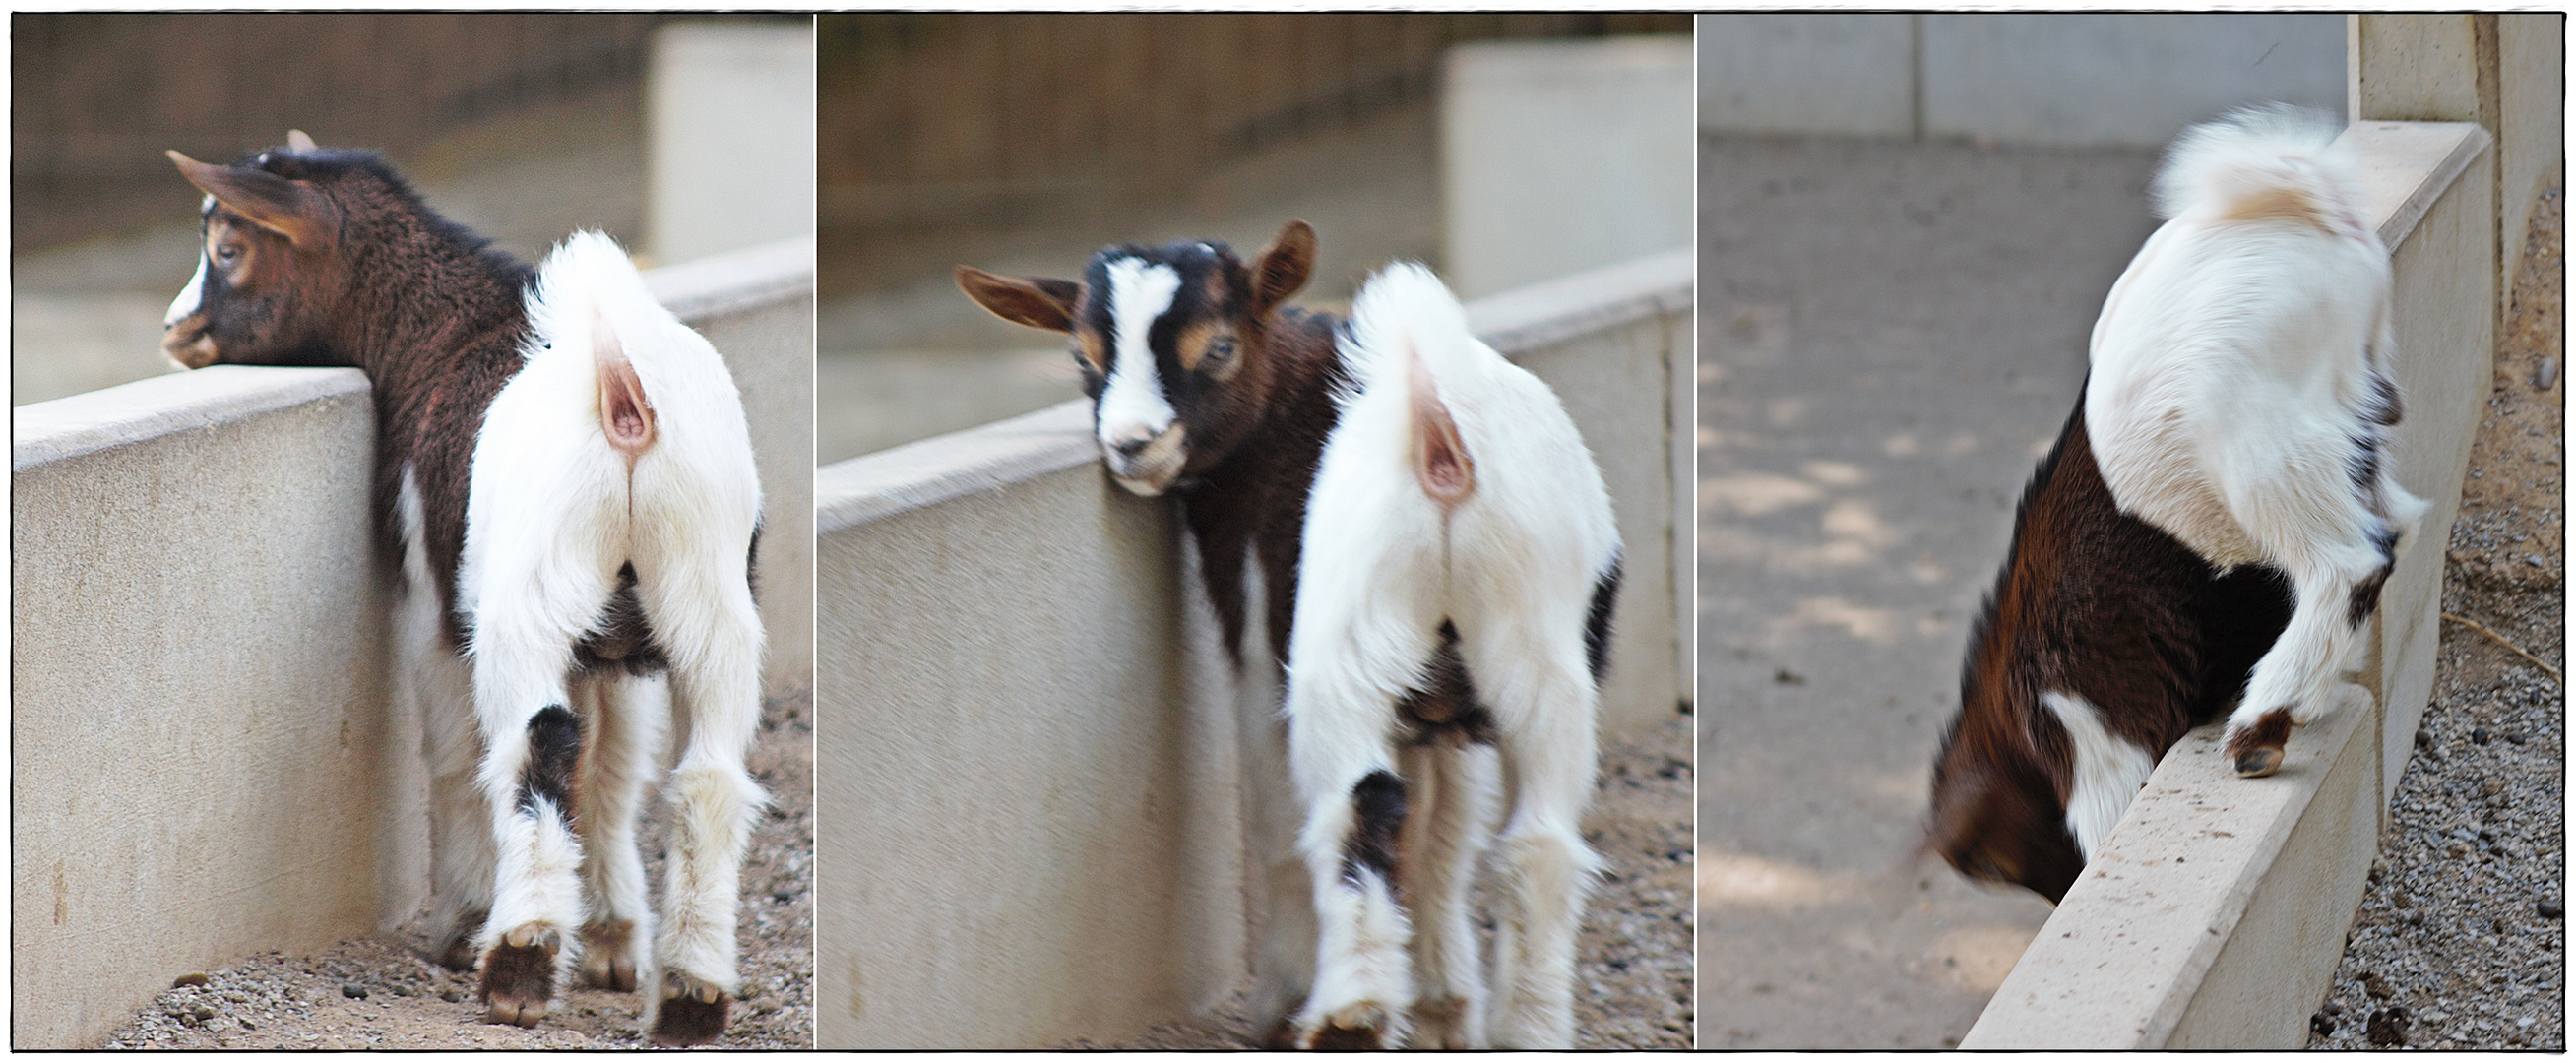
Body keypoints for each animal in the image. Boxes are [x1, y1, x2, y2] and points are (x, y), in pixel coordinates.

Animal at [160, 132, 757, 1044]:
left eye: (228, 248)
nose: (176, 329)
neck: (448, 335)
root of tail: (623, 397)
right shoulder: (615, 647)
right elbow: (615, 766)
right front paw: (614, 940)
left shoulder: (431, 596)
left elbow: (453, 750)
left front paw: (468, 921)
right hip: (706, 592)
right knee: (707, 778)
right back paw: (691, 997)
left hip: (529, 592)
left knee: (537, 743)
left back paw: (516, 960)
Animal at [958, 219, 1617, 1049]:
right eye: (1084, 357)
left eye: (1217, 348)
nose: (1131, 444)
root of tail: (1436, 426)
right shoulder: (1439, 713)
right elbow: (1443, 833)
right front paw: (1442, 1007)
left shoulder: (1257, 637)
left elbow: (1280, 826)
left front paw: (1284, 997)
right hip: (1535, 644)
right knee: (1538, 841)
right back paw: (1526, 1027)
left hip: (1346, 638)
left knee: (1359, 804)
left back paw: (1347, 1012)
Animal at [1936, 107, 2431, 901]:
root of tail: (2304, 203)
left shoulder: (2095, 732)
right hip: (2347, 425)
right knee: (2398, 523)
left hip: (2250, 440)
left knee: (2351, 558)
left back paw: (2261, 728)